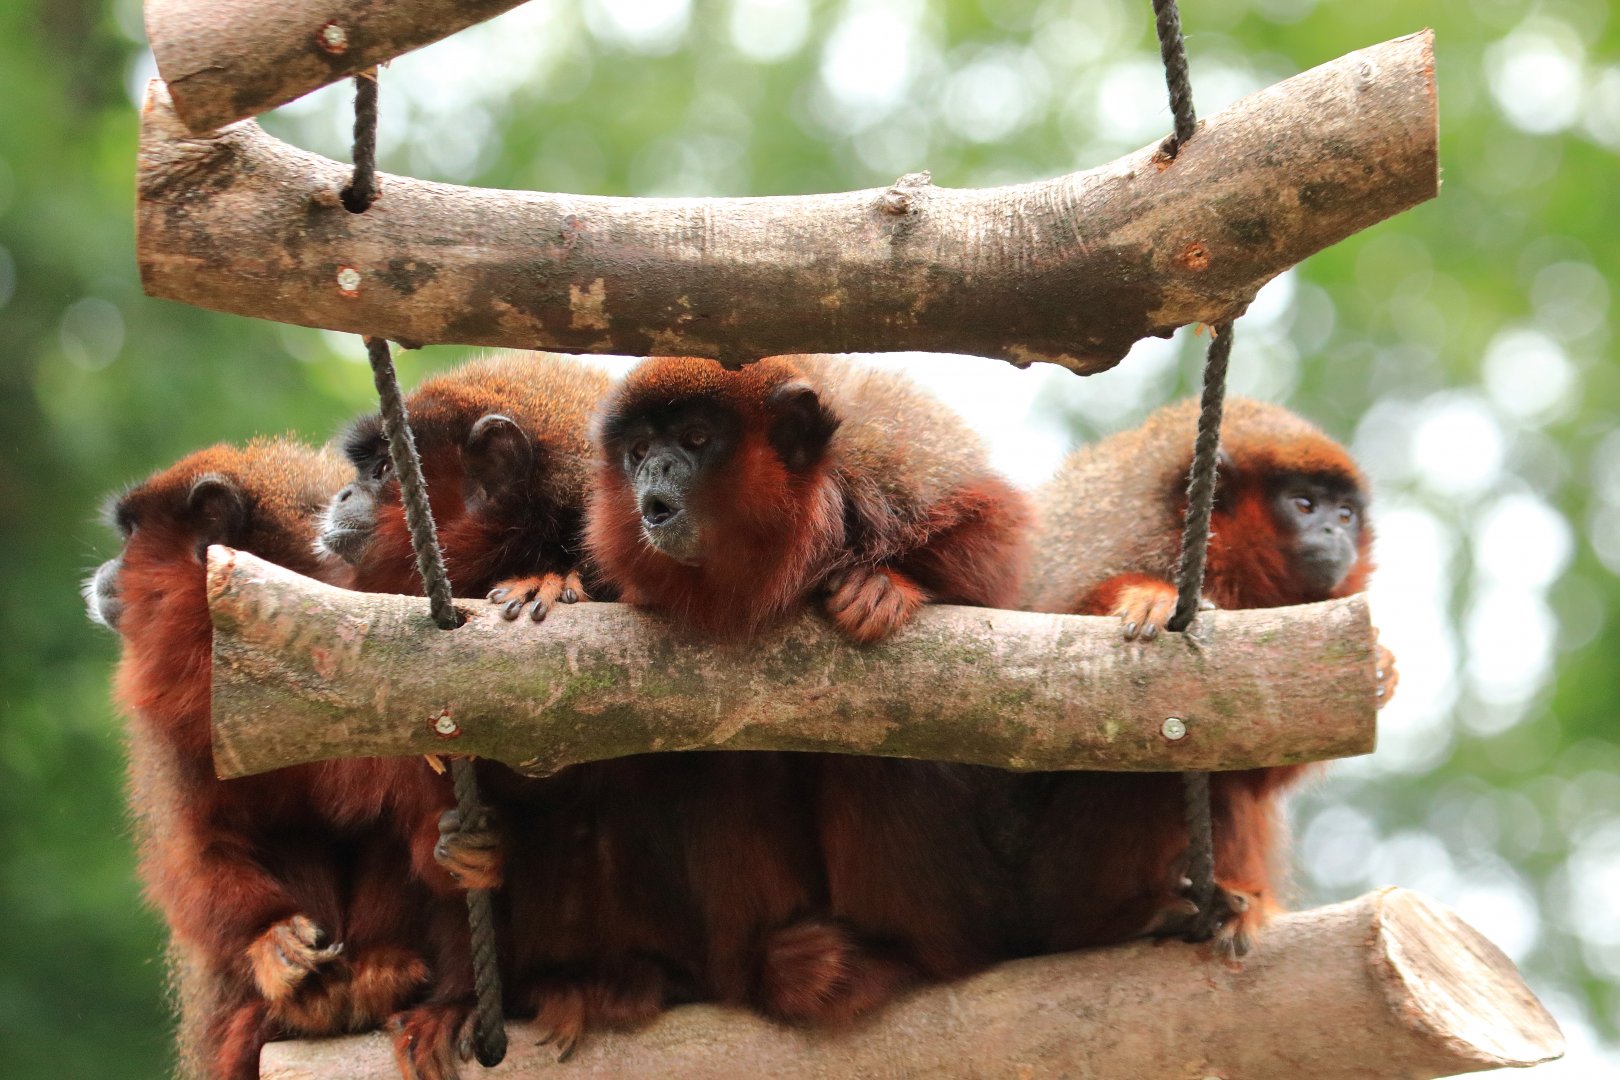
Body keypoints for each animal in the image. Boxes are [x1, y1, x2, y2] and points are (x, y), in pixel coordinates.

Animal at [86, 439, 477, 1080]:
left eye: (130, 536)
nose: (104, 572)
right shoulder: (177, 717)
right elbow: (197, 845)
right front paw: (269, 937)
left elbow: (425, 828)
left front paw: (463, 856)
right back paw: (307, 1003)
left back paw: (380, 973)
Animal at [586, 354, 1034, 1021]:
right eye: (638, 450)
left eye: (695, 438)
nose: (654, 472)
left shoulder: (894, 467)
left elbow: (988, 550)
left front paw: (885, 585)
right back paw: (776, 968)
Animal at [1019, 396, 1399, 958]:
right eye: (1305, 505)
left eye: (1346, 514)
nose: (1335, 533)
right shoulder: (1126, 538)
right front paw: (1145, 597)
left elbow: (1258, 765)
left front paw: (1379, 668)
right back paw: (1114, 922)